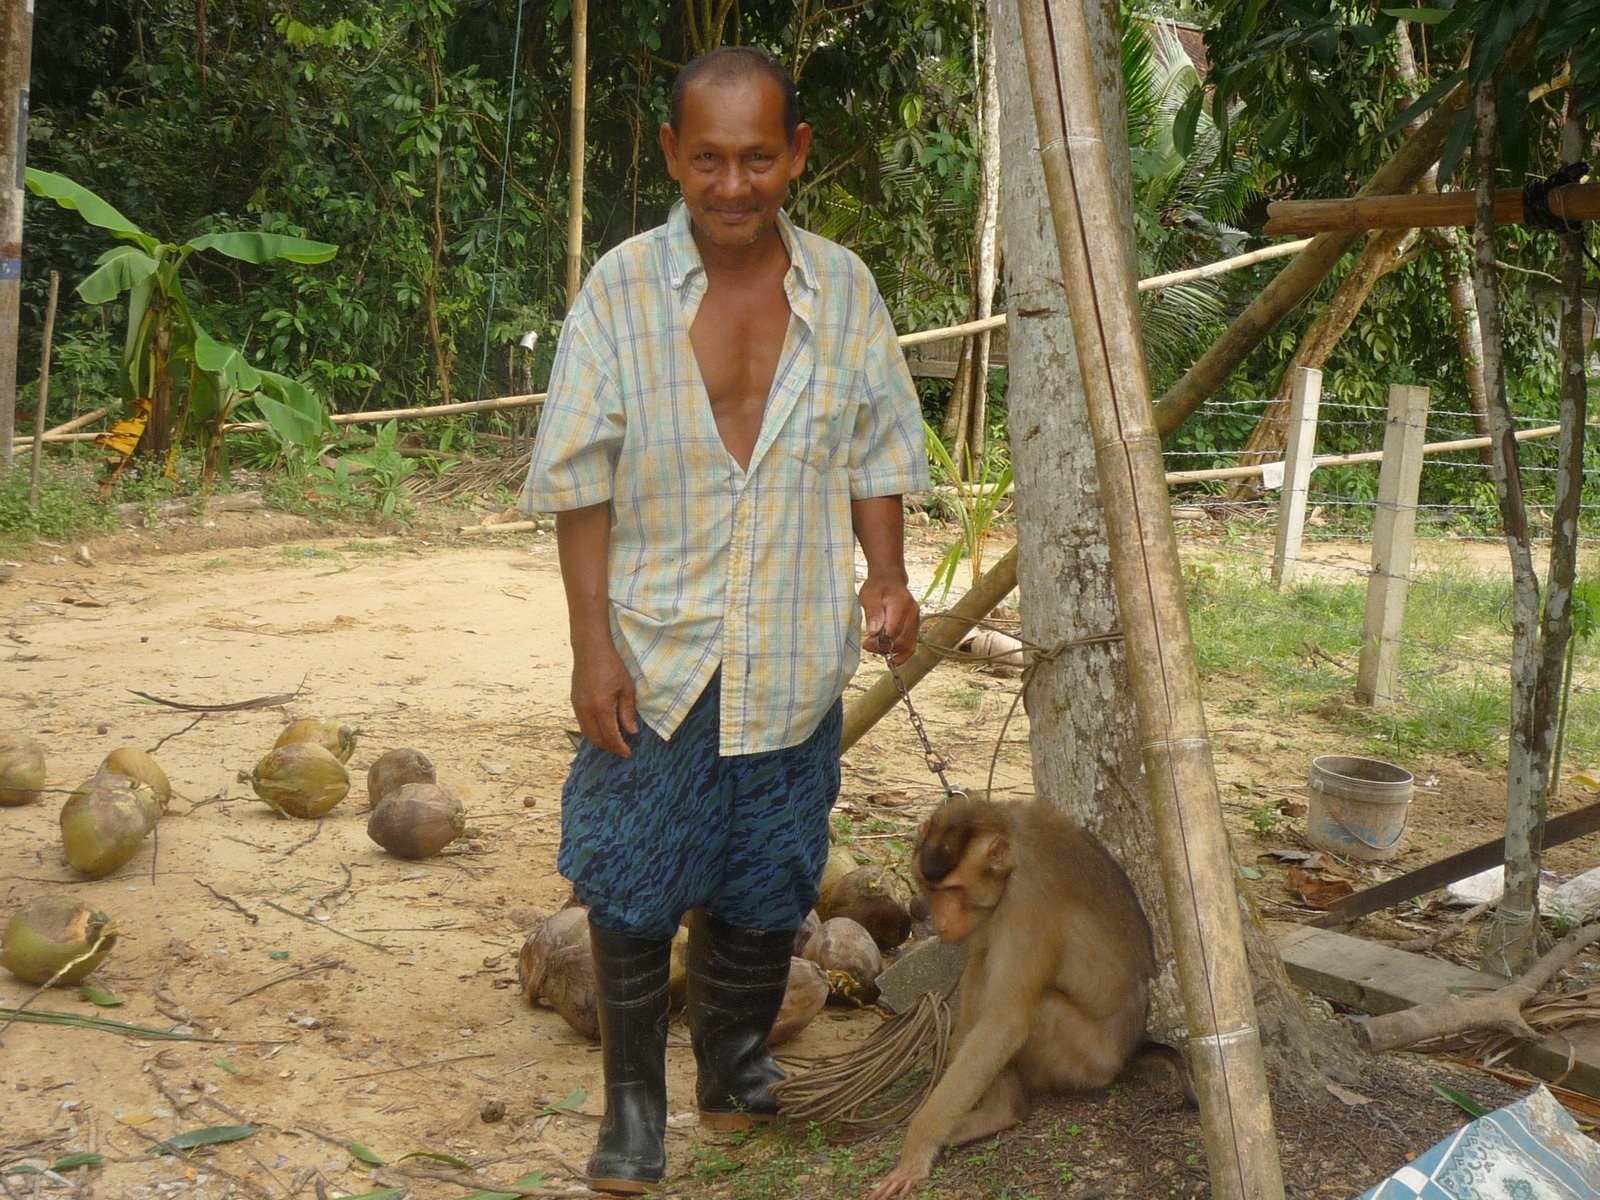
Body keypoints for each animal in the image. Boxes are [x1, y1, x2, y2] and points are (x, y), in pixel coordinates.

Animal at [870, 800, 1184, 1200]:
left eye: (954, 890)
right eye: (932, 889)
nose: (939, 920)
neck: (1014, 850)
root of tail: (1130, 1051)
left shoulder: (1026, 901)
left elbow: (1005, 1024)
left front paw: (917, 1148)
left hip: (1086, 1061)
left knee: (1031, 1009)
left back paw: (1002, 1113)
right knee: (980, 967)